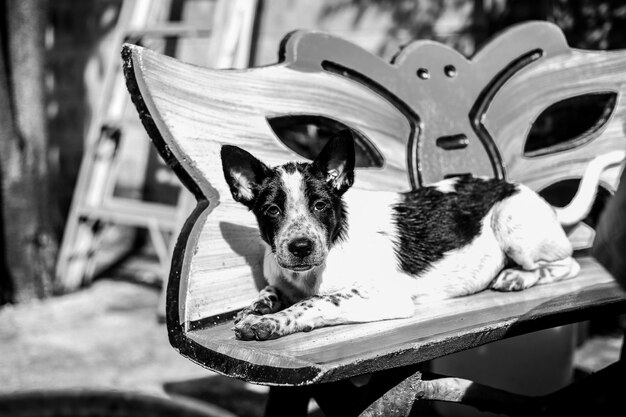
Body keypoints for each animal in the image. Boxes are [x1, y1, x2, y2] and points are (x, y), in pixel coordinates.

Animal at [219, 131, 620, 342]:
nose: (300, 247)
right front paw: (253, 311)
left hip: (511, 223)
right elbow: (269, 293)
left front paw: (270, 322)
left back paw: (516, 277)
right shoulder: (281, 281)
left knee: (566, 265)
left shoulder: (384, 296)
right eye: (272, 211)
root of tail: (535, 197)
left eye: (320, 205)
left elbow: (318, 302)